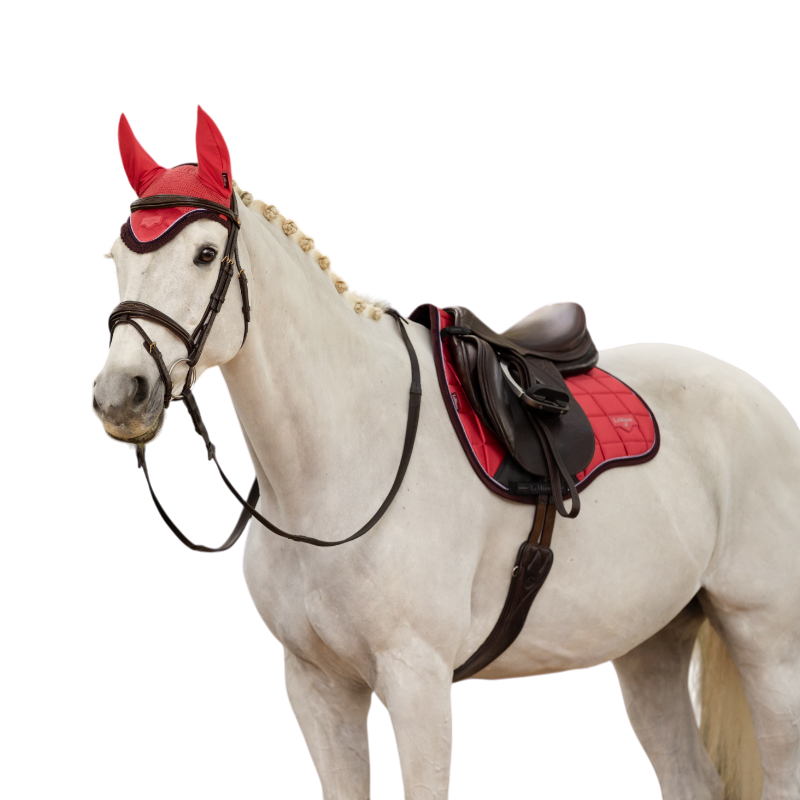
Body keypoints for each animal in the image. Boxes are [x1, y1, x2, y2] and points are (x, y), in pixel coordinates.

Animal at [92, 107, 800, 800]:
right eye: (117, 258)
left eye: (205, 254)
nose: (120, 394)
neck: (341, 463)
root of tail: (764, 399)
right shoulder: (318, 689)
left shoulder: (417, 683)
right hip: (652, 638)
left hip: (767, 640)